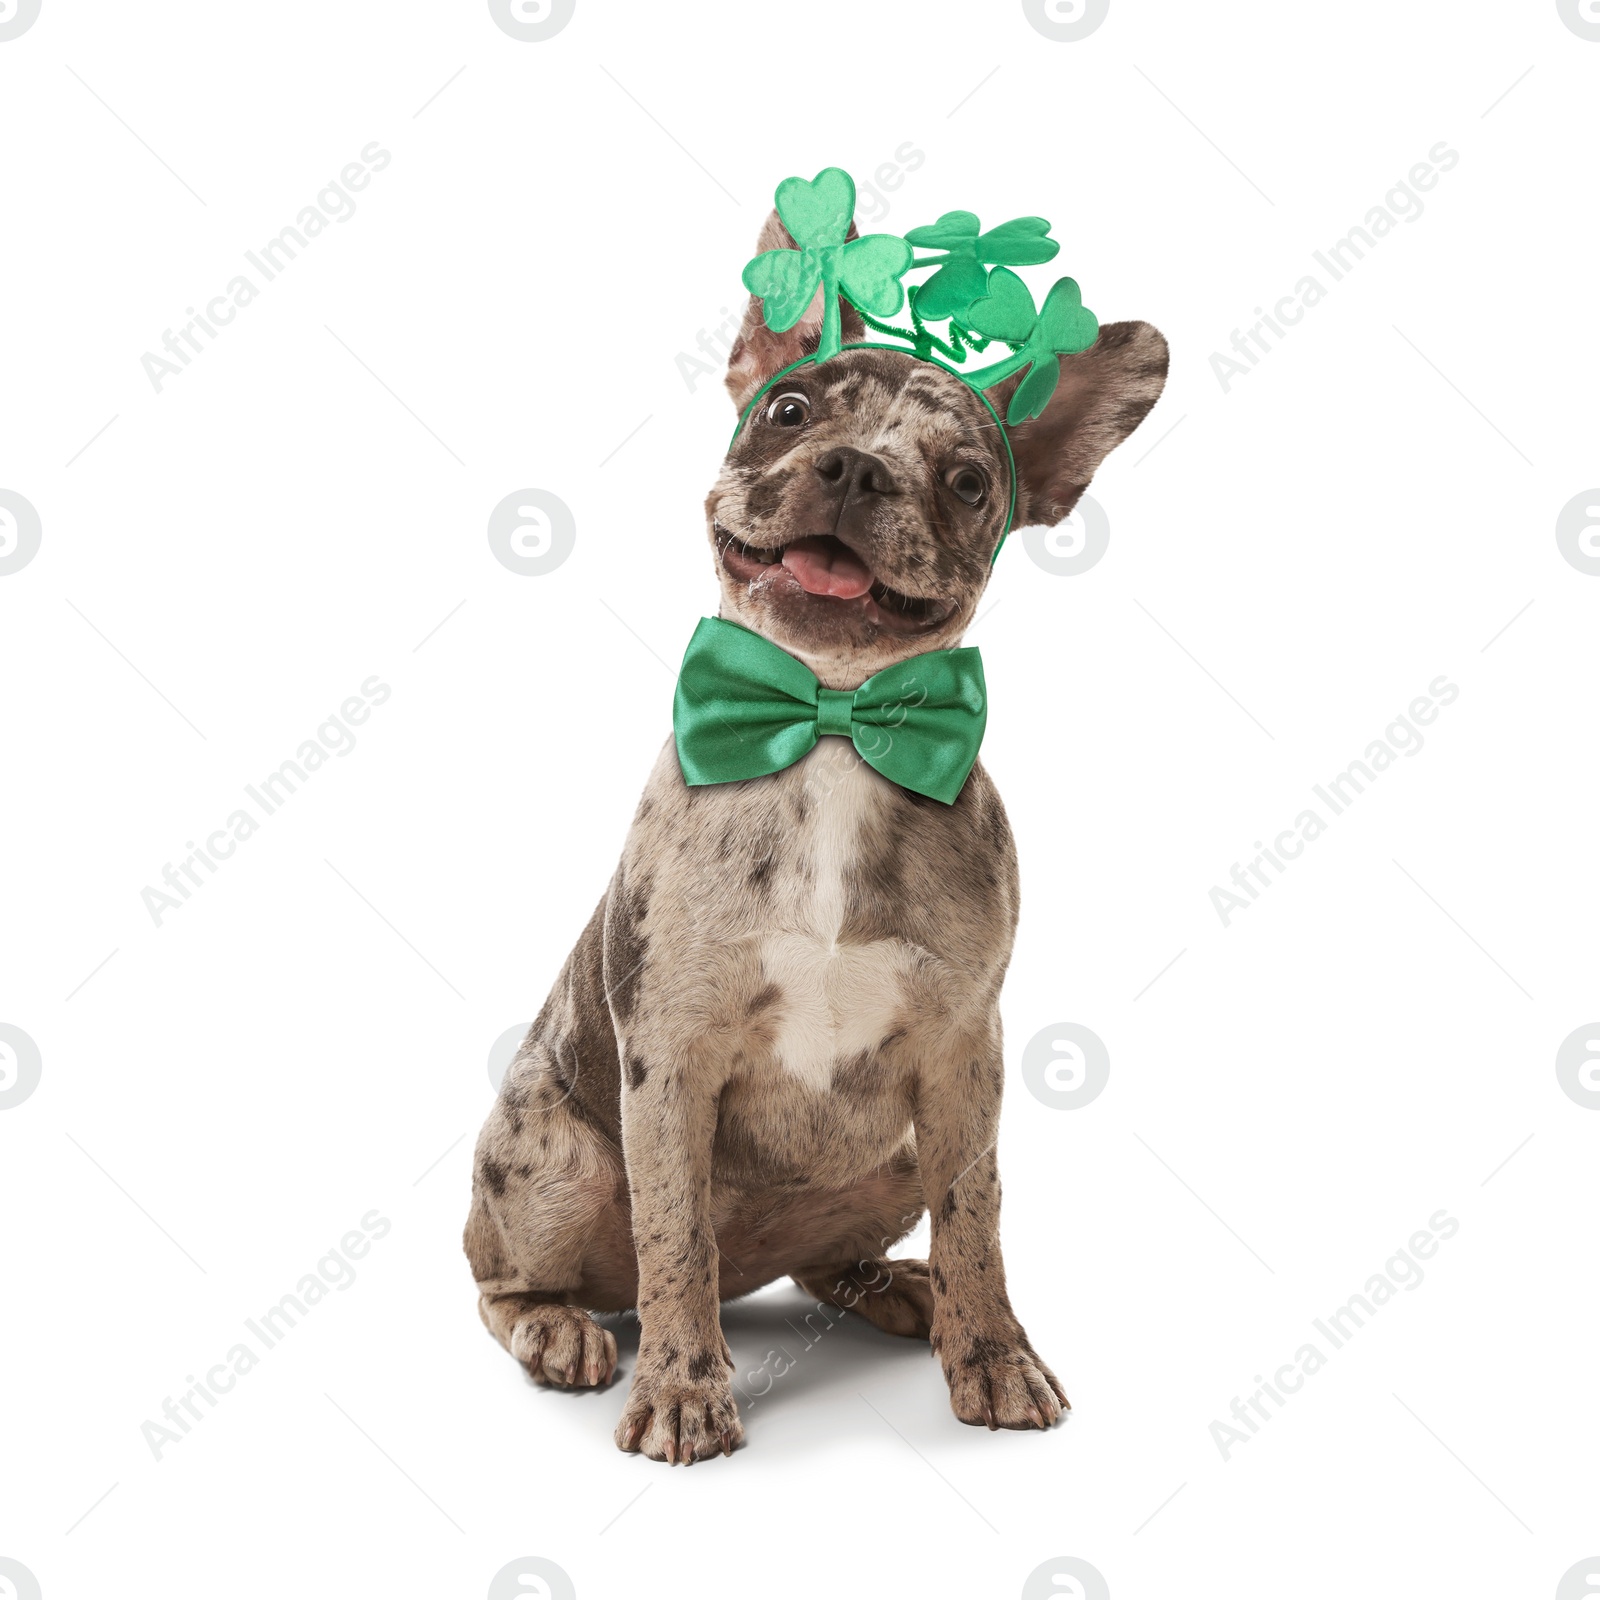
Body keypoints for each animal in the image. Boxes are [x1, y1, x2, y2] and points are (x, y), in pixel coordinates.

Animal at [464, 200, 1164, 1465]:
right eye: (789, 412)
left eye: (968, 481)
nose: (853, 465)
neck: (832, 720)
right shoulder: (669, 1060)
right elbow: (675, 1235)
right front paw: (683, 1389)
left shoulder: (962, 1062)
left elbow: (979, 1220)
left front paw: (992, 1351)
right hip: (557, 1159)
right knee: (528, 1276)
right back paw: (563, 1328)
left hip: (891, 1159)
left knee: (847, 1253)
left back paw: (900, 1288)